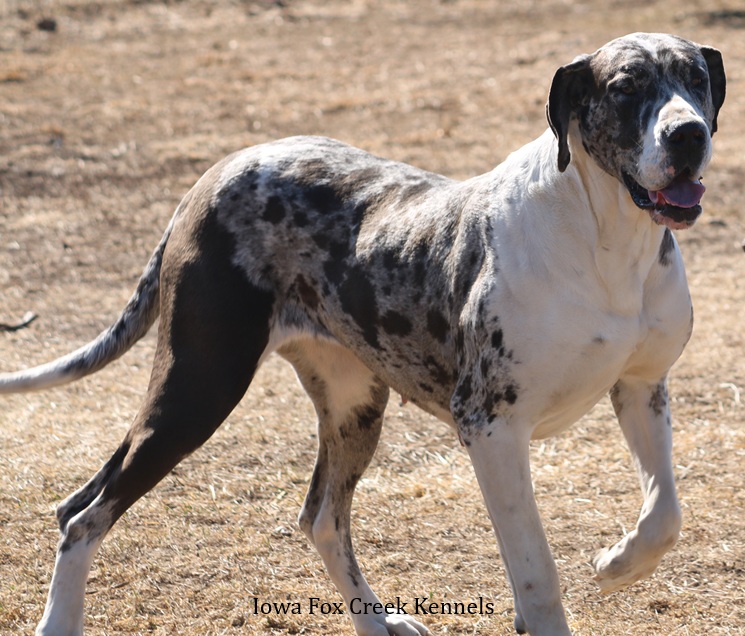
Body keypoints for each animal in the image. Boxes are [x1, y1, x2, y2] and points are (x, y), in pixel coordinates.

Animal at [0, 33, 726, 636]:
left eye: (696, 80)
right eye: (624, 87)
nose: (687, 134)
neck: (607, 241)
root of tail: (218, 171)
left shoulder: (641, 388)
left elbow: (665, 514)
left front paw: (618, 563)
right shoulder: (490, 426)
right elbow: (536, 572)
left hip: (351, 405)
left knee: (319, 519)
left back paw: (379, 623)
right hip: (198, 387)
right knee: (85, 513)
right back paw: (58, 623)